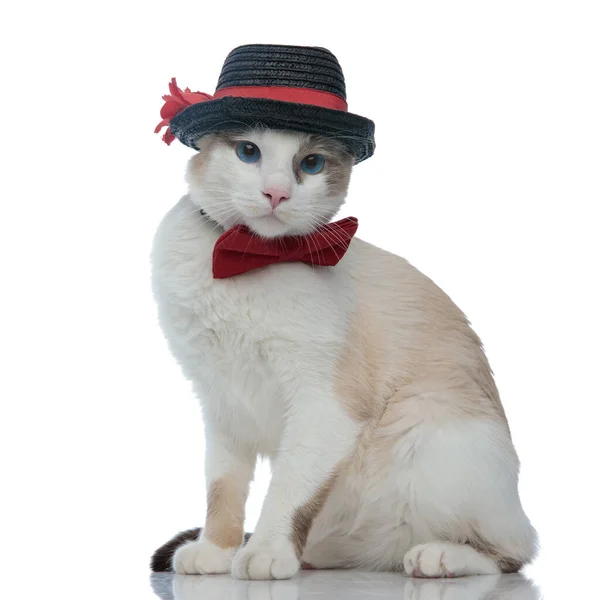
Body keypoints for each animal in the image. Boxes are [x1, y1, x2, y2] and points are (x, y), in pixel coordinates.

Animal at [151, 126, 540, 580]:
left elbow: (287, 491)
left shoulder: (322, 408)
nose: (276, 193)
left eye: (311, 164)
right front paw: (216, 551)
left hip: (424, 423)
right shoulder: (221, 402)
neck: (249, 257)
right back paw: (315, 556)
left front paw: (266, 550)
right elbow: (222, 490)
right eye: (249, 152)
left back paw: (436, 556)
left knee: (511, 552)